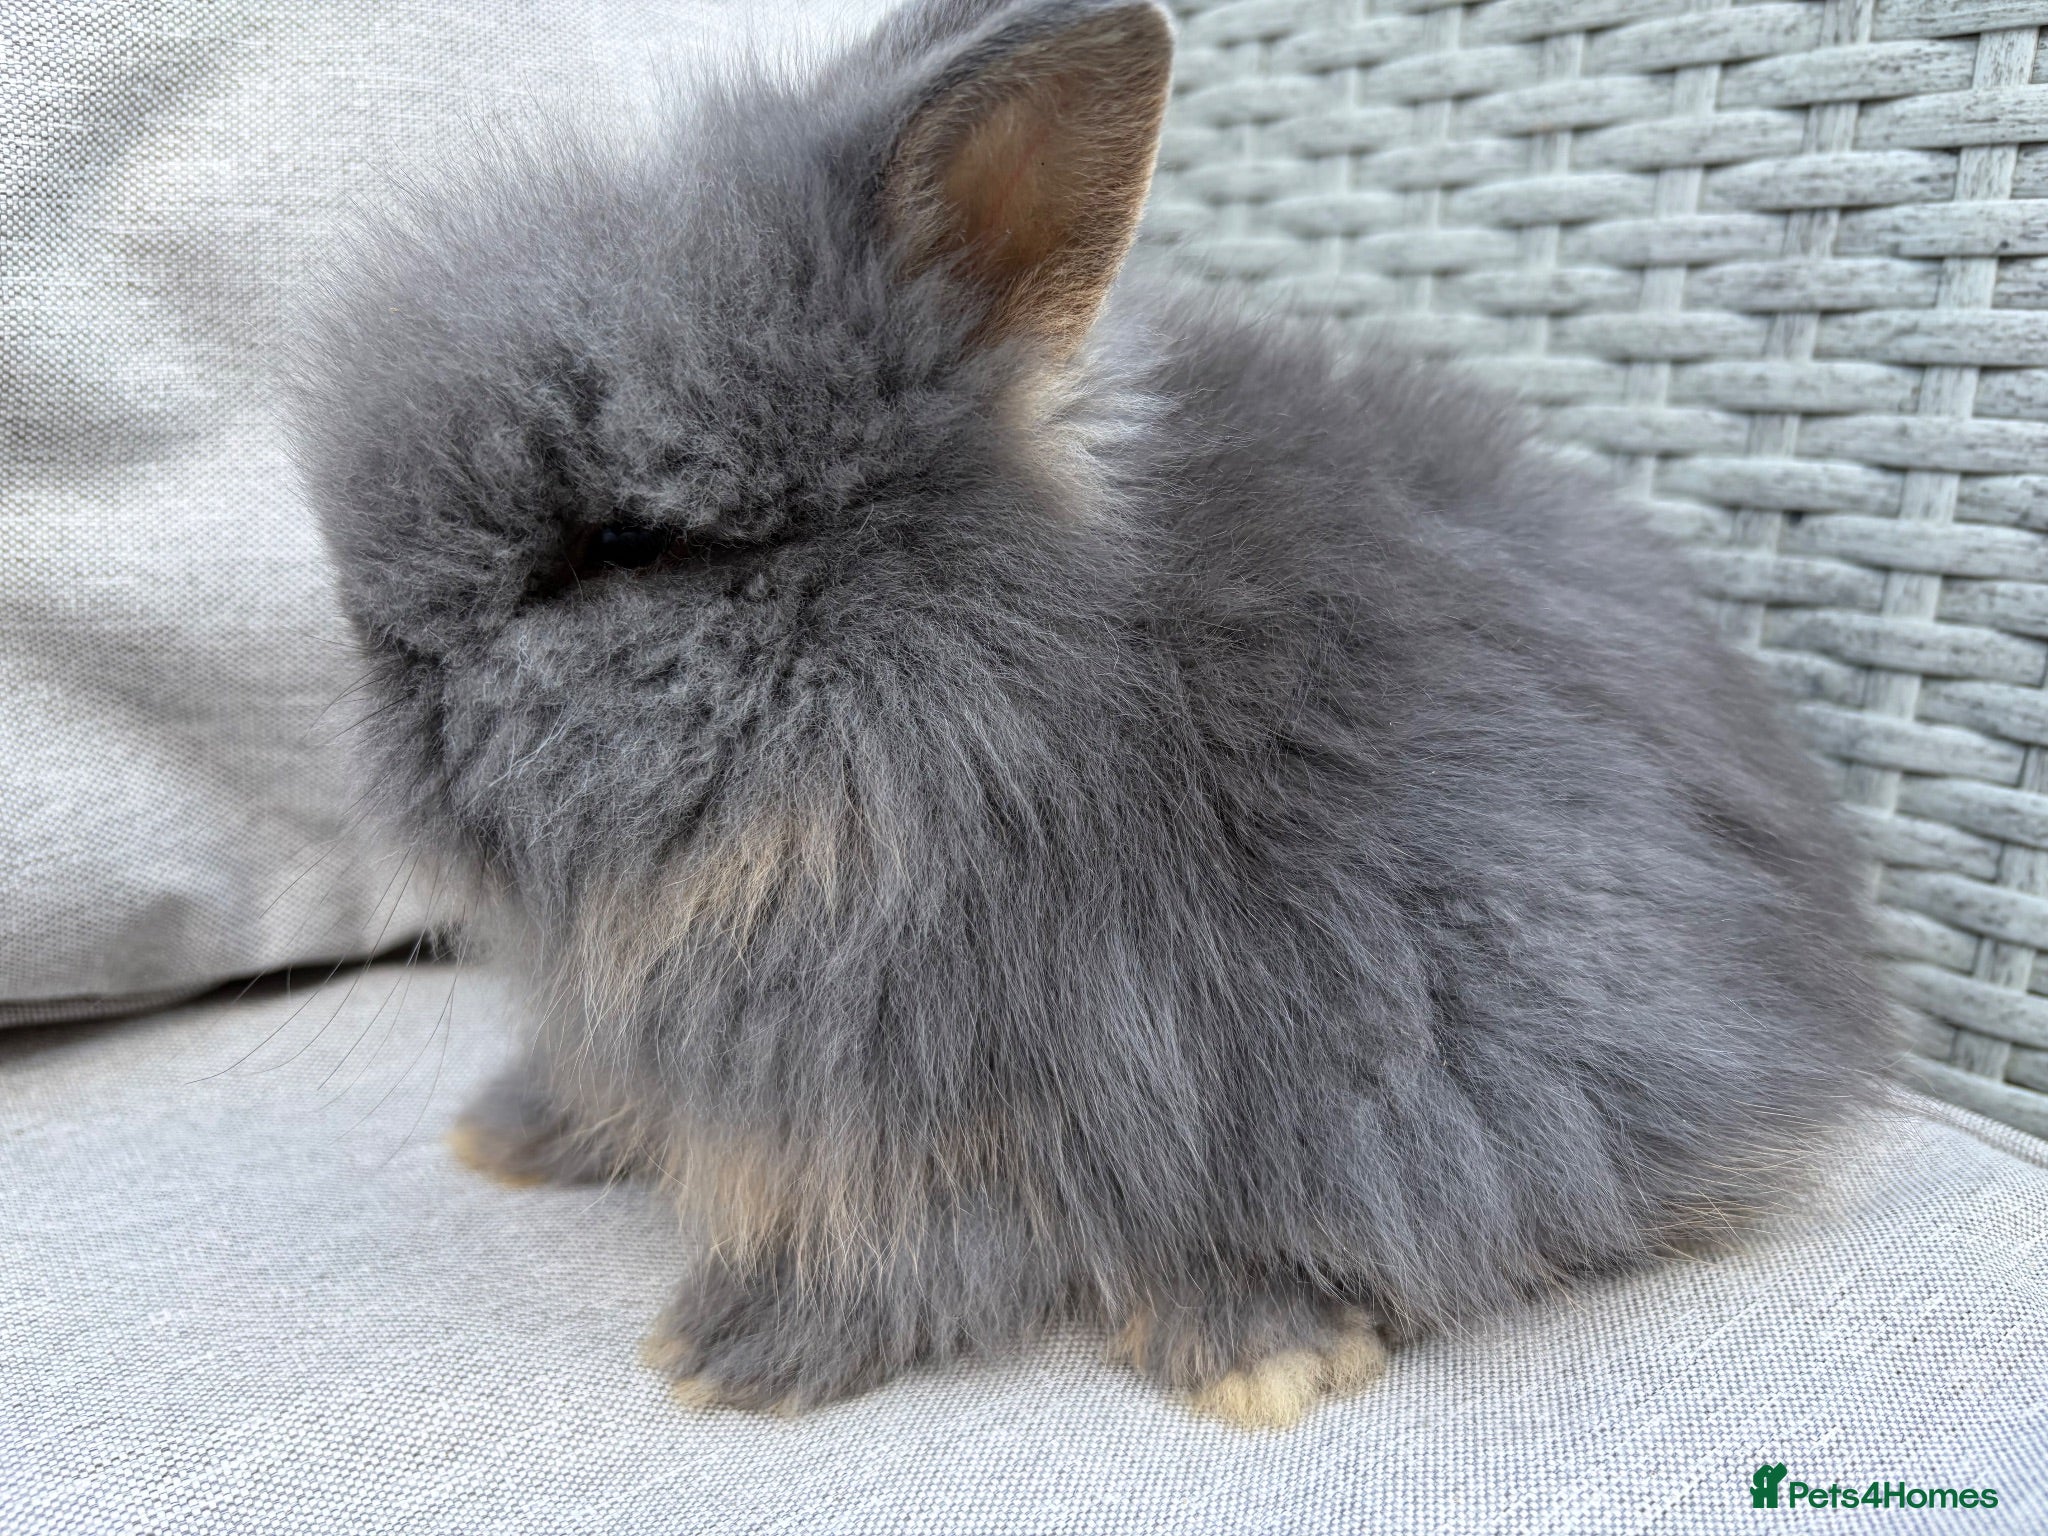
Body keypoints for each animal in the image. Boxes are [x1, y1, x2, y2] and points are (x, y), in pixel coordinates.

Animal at [286, 0, 1895, 1428]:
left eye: (629, 548)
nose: (379, 660)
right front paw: (514, 1135)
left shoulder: (954, 1088)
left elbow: (896, 1239)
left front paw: (725, 1353)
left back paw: (1250, 1352)